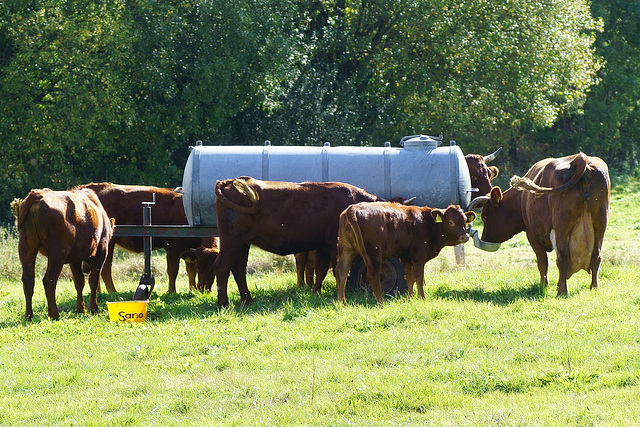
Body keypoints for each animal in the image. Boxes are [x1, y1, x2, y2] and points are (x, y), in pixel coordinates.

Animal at [13, 189, 114, 320]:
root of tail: (38, 194)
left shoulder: (75, 258)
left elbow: (79, 281)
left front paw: (80, 309)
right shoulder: (102, 249)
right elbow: (94, 279)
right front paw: (93, 309)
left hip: (26, 246)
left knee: (28, 279)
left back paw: (29, 316)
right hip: (58, 252)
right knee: (49, 280)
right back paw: (54, 314)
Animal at [76, 182, 218, 296]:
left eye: (214, 270)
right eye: (201, 267)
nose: (204, 290)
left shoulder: (190, 253)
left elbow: (191, 272)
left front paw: (192, 290)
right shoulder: (172, 249)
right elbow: (173, 271)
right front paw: (172, 292)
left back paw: (99, 292)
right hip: (108, 244)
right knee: (105, 269)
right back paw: (113, 292)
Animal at [214, 177, 384, 308]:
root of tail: (227, 182)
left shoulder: (323, 246)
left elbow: (321, 271)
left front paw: (316, 293)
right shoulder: (333, 244)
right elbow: (338, 271)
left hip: (242, 243)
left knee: (238, 269)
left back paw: (247, 300)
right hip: (231, 241)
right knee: (223, 266)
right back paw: (223, 304)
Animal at [336, 203, 476, 306]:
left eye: (465, 221)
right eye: (451, 222)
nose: (465, 236)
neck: (428, 223)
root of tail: (352, 208)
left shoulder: (407, 258)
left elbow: (409, 277)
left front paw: (410, 297)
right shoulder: (419, 257)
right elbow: (419, 277)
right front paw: (421, 297)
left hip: (346, 250)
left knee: (341, 273)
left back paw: (342, 303)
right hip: (374, 254)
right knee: (373, 276)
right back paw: (381, 302)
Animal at [470, 154, 608, 298]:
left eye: (485, 216)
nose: (484, 239)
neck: (521, 199)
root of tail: (581, 158)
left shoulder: (532, 235)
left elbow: (542, 262)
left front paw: (543, 285)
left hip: (562, 227)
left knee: (562, 258)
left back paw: (561, 291)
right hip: (600, 222)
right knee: (596, 256)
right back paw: (594, 287)